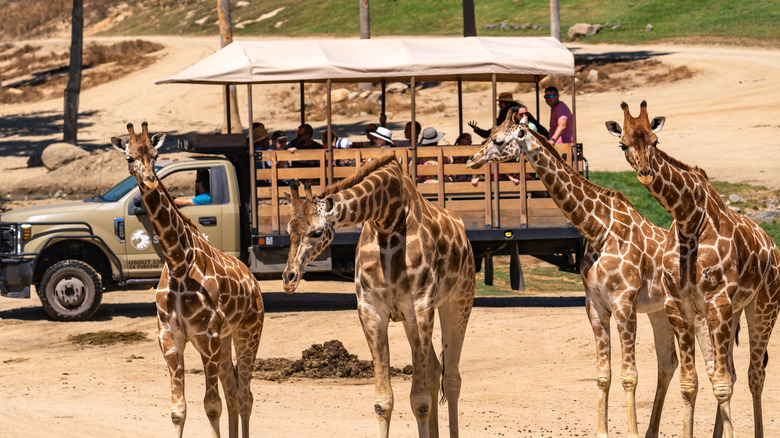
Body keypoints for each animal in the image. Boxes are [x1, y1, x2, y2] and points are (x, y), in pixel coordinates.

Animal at [111, 122, 264, 438]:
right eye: (129, 157)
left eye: (156, 155)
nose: (149, 180)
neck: (178, 263)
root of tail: (254, 282)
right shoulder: (170, 338)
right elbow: (178, 410)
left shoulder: (207, 337)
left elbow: (211, 406)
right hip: (226, 339)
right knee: (233, 392)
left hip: (248, 332)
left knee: (245, 395)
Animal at [281, 152, 475, 438]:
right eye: (288, 230)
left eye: (316, 232)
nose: (289, 278)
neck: (388, 220)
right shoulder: (372, 311)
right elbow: (383, 401)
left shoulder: (420, 306)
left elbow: (419, 402)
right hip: (411, 318)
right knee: (434, 371)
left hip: (459, 300)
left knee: (451, 378)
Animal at [465, 107, 692, 437]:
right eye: (490, 133)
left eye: (498, 140)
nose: (471, 160)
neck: (597, 229)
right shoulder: (595, 306)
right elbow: (602, 375)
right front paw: (603, 431)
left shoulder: (624, 305)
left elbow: (629, 375)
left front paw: (632, 432)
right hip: (660, 311)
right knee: (669, 363)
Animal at [606, 101, 780, 438]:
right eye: (623, 144)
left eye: (655, 141)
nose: (645, 174)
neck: (688, 219)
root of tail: (772, 244)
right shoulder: (679, 306)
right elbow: (690, 384)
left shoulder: (717, 302)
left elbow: (721, 383)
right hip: (734, 311)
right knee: (735, 372)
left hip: (764, 307)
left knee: (754, 375)